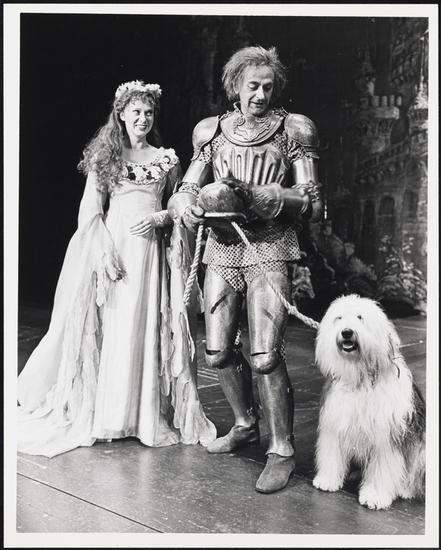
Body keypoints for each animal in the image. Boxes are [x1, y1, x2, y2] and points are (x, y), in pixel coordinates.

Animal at [312, 294, 425, 510]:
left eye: (360, 317)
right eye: (339, 318)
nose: (347, 332)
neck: (360, 377)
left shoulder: (386, 436)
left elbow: (383, 468)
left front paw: (375, 496)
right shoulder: (335, 424)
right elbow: (332, 454)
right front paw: (328, 480)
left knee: (414, 474)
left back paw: (405, 489)